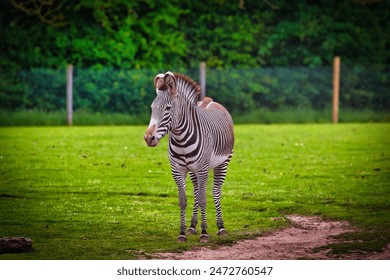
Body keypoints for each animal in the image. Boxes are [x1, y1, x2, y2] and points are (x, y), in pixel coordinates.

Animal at [144, 71, 233, 242]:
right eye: (152, 108)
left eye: (168, 108)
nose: (148, 138)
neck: (181, 139)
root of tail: (208, 100)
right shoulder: (177, 170)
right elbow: (183, 200)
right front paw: (182, 233)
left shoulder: (202, 169)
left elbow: (204, 198)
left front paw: (204, 233)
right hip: (193, 170)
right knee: (197, 191)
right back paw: (192, 226)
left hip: (223, 162)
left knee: (216, 192)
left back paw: (221, 227)